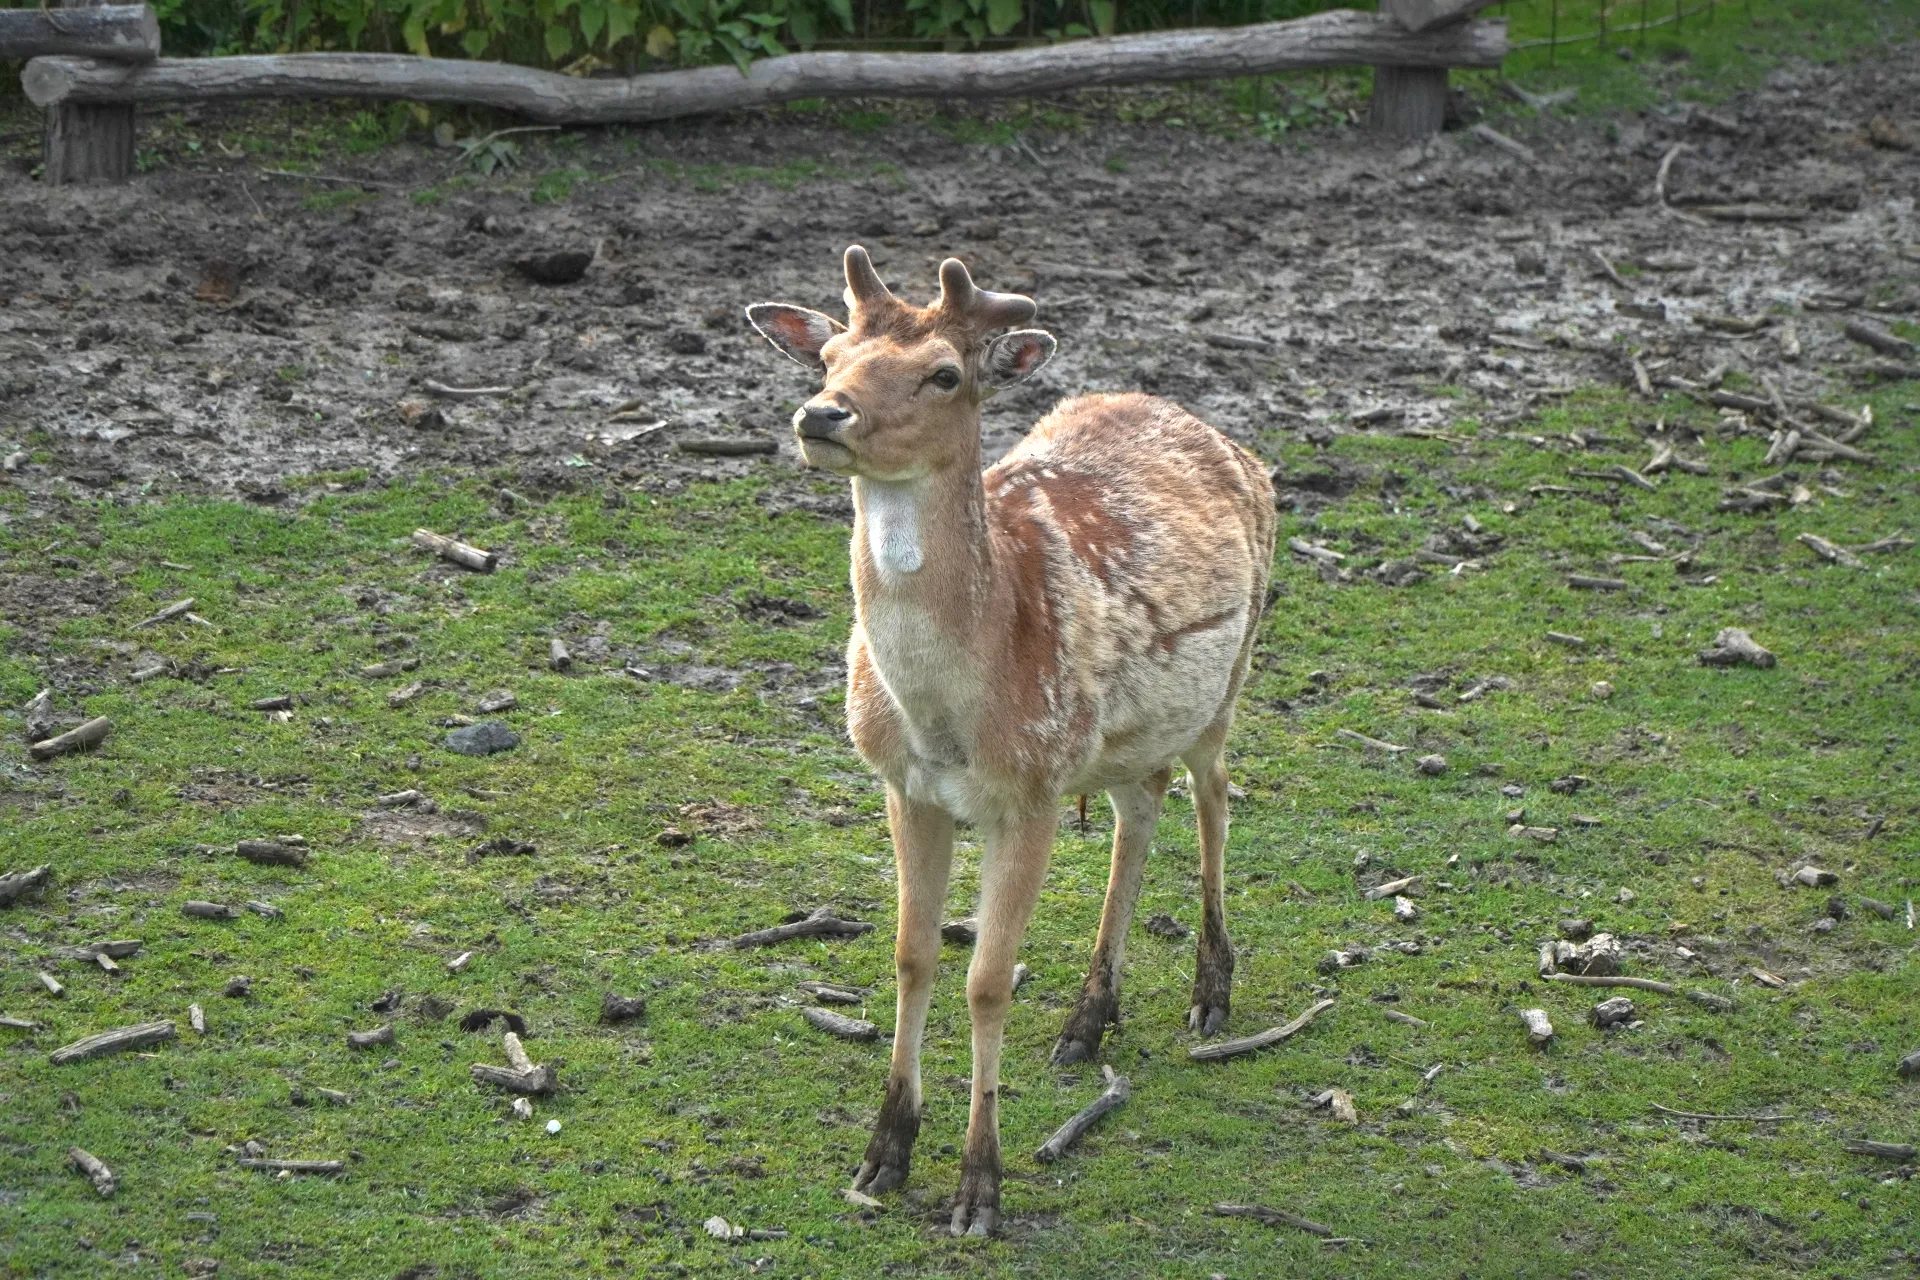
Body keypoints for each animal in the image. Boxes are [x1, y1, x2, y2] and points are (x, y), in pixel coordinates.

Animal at [745, 246, 1275, 1236]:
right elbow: (912, 955)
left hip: (1229, 674)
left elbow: (987, 980)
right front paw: (882, 1156)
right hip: (1121, 732)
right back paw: (1087, 1022)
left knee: (1217, 794)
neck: (949, 718)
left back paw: (1210, 994)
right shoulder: (904, 787)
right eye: (828, 355)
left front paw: (978, 1190)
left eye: (944, 374)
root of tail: (1230, 442)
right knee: (1140, 806)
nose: (822, 414)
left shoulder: (1027, 793)